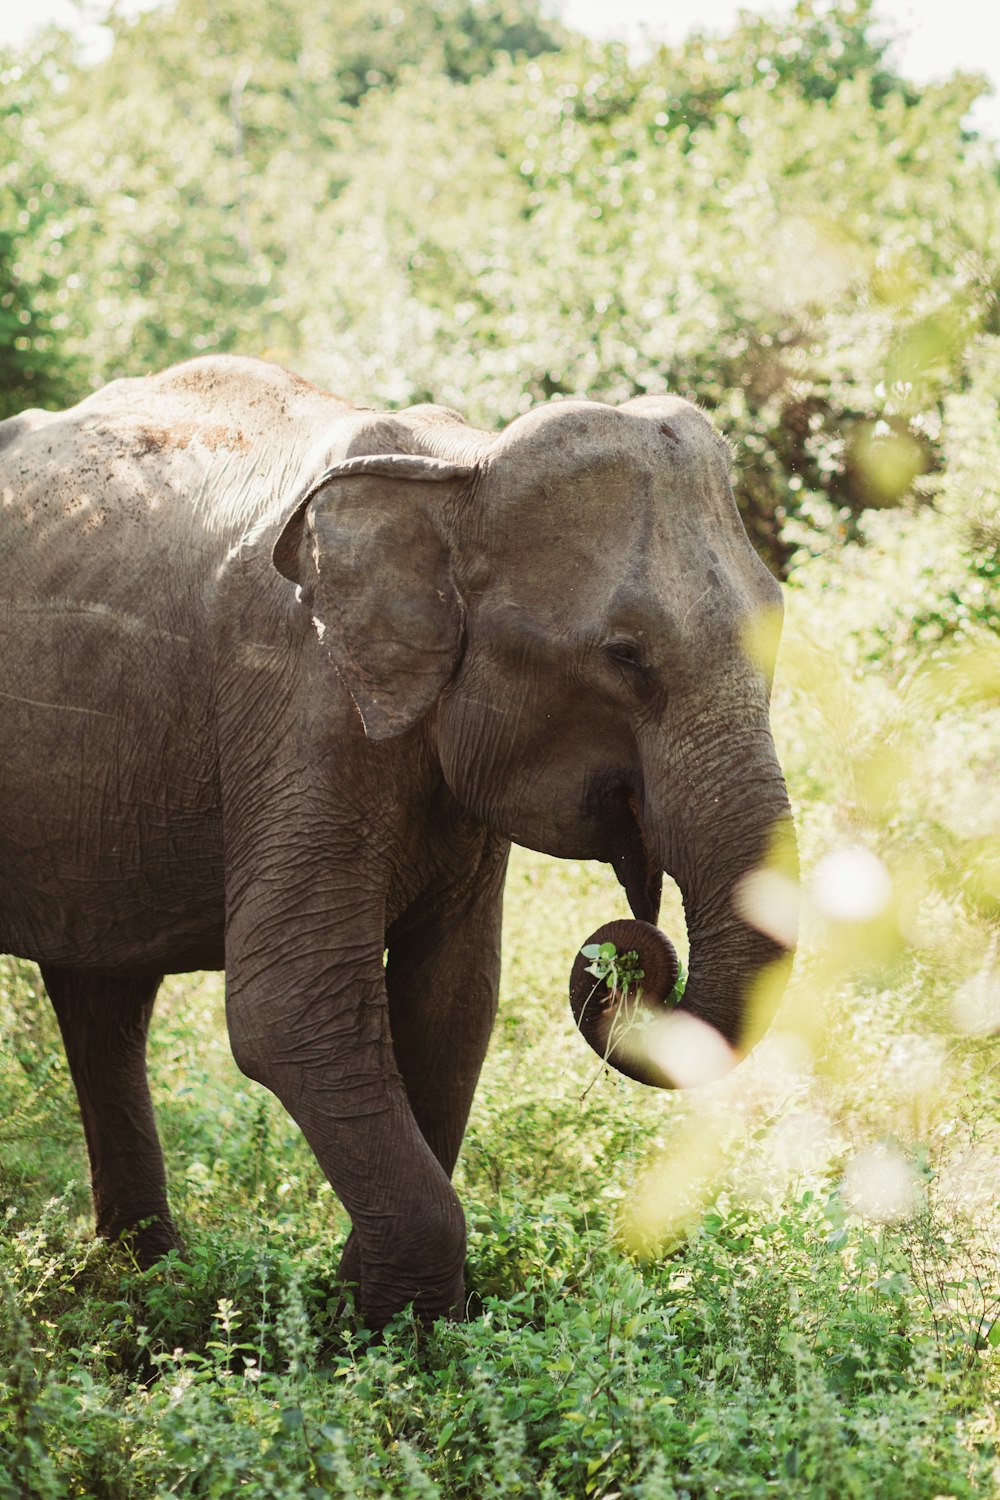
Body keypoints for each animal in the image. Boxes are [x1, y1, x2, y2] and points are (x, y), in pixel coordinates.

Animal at [0, 357, 797, 1332]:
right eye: (624, 654)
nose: (627, 963)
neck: (458, 470)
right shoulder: (301, 708)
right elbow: (289, 1005)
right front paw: (378, 1326)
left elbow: (452, 998)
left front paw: (387, 1314)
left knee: (102, 995)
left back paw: (146, 1283)